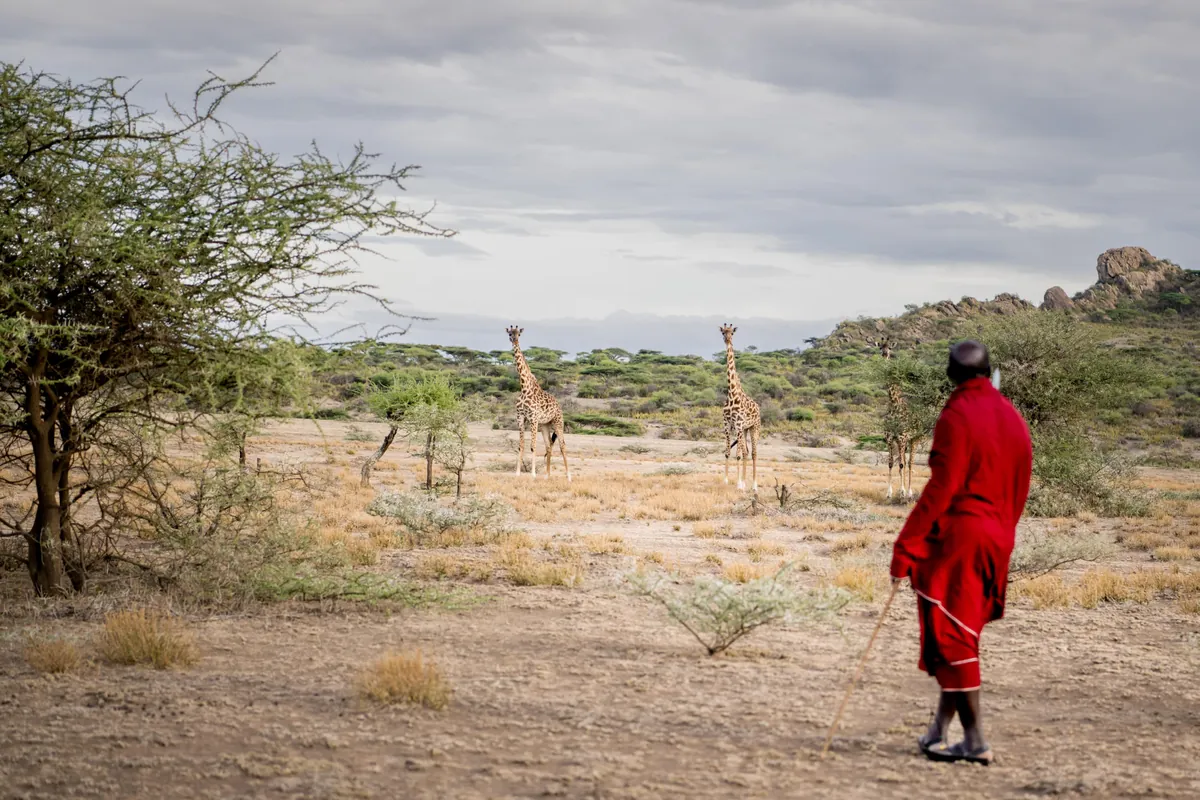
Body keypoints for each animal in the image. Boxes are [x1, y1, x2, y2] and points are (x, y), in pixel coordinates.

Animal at [506, 326, 570, 482]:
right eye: (510, 334)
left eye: (519, 334)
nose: (514, 340)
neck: (524, 387)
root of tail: (559, 405)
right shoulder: (520, 418)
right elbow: (521, 446)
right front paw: (517, 473)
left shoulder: (533, 418)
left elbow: (533, 446)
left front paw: (533, 474)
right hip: (545, 425)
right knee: (548, 445)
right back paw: (547, 475)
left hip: (558, 422)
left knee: (562, 445)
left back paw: (568, 477)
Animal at [719, 324, 762, 492]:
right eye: (722, 332)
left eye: (732, 332)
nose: (727, 339)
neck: (732, 394)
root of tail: (758, 408)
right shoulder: (727, 425)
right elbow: (727, 452)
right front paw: (726, 481)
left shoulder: (737, 424)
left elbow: (737, 454)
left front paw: (738, 484)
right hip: (744, 429)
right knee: (746, 452)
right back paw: (745, 482)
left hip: (754, 427)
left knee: (754, 453)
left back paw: (754, 485)